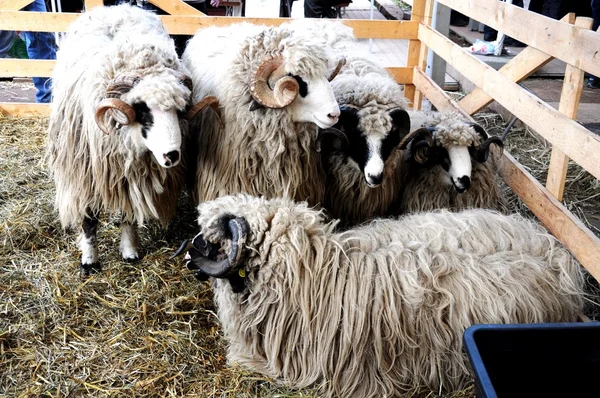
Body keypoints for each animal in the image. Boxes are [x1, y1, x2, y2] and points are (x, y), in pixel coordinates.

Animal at [46, 4, 216, 276]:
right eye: (141, 109)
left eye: (180, 109)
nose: (172, 156)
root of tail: (115, 7)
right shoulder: (85, 176)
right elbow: (89, 220)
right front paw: (89, 260)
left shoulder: (130, 177)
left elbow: (128, 214)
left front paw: (129, 251)